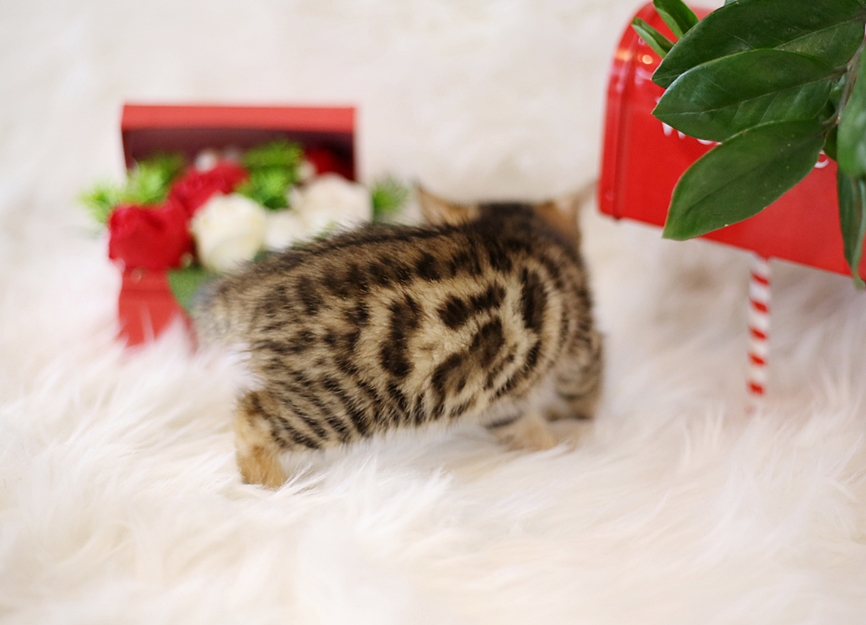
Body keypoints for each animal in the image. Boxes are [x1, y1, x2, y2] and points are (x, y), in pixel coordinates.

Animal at [193, 186, 603, 488]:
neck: (514, 229)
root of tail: (254, 287)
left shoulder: (493, 385)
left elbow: (513, 417)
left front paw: (541, 437)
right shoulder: (582, 343)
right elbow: (585, 387)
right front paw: (571, 429)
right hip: (342, 405)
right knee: (251, 416)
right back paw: (271, 485)